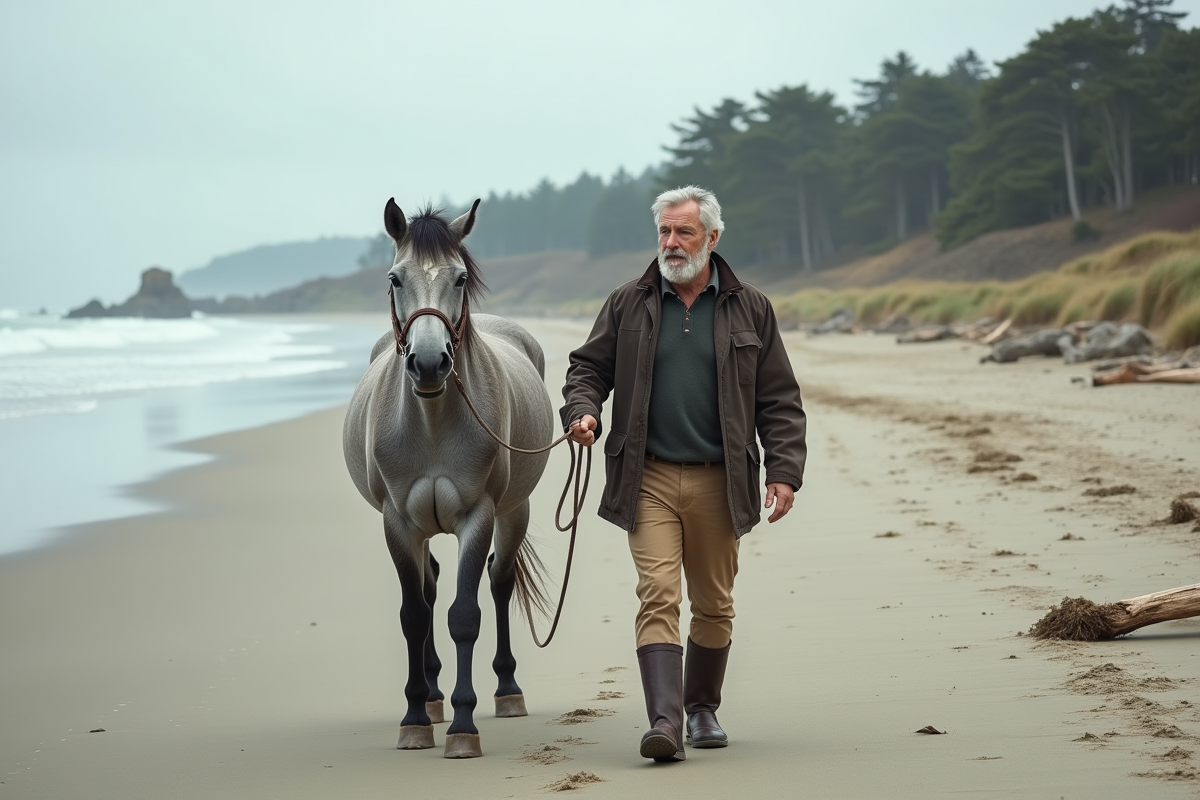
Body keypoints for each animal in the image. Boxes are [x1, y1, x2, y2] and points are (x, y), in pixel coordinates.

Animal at [342, 198, 554, 759]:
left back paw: (506, 690)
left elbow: (465, 616)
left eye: (460, 278)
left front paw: (463, 725)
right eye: (395, 278)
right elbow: (414, 615)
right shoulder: (397, 522)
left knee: (499, 582)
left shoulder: (478, 515)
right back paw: (433, 695)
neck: (432, 421)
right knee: (431, 584)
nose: (430, 363)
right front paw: (417, 717)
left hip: (514, 511)